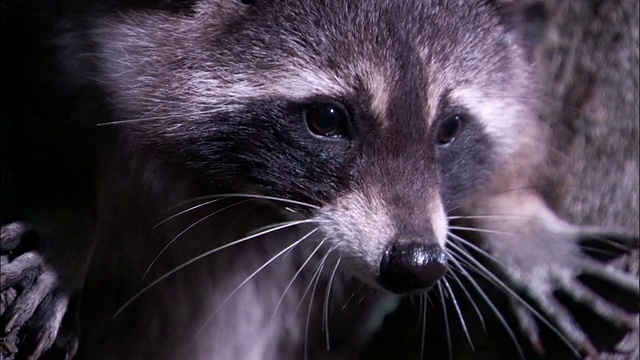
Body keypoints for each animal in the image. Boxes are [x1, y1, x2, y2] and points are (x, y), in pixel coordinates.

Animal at [0, 0, 636, 360]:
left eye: (450, 128)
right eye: (328, 120)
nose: (417, 262)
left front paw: (515, 215)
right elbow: (50, 95)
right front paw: (66, 214)